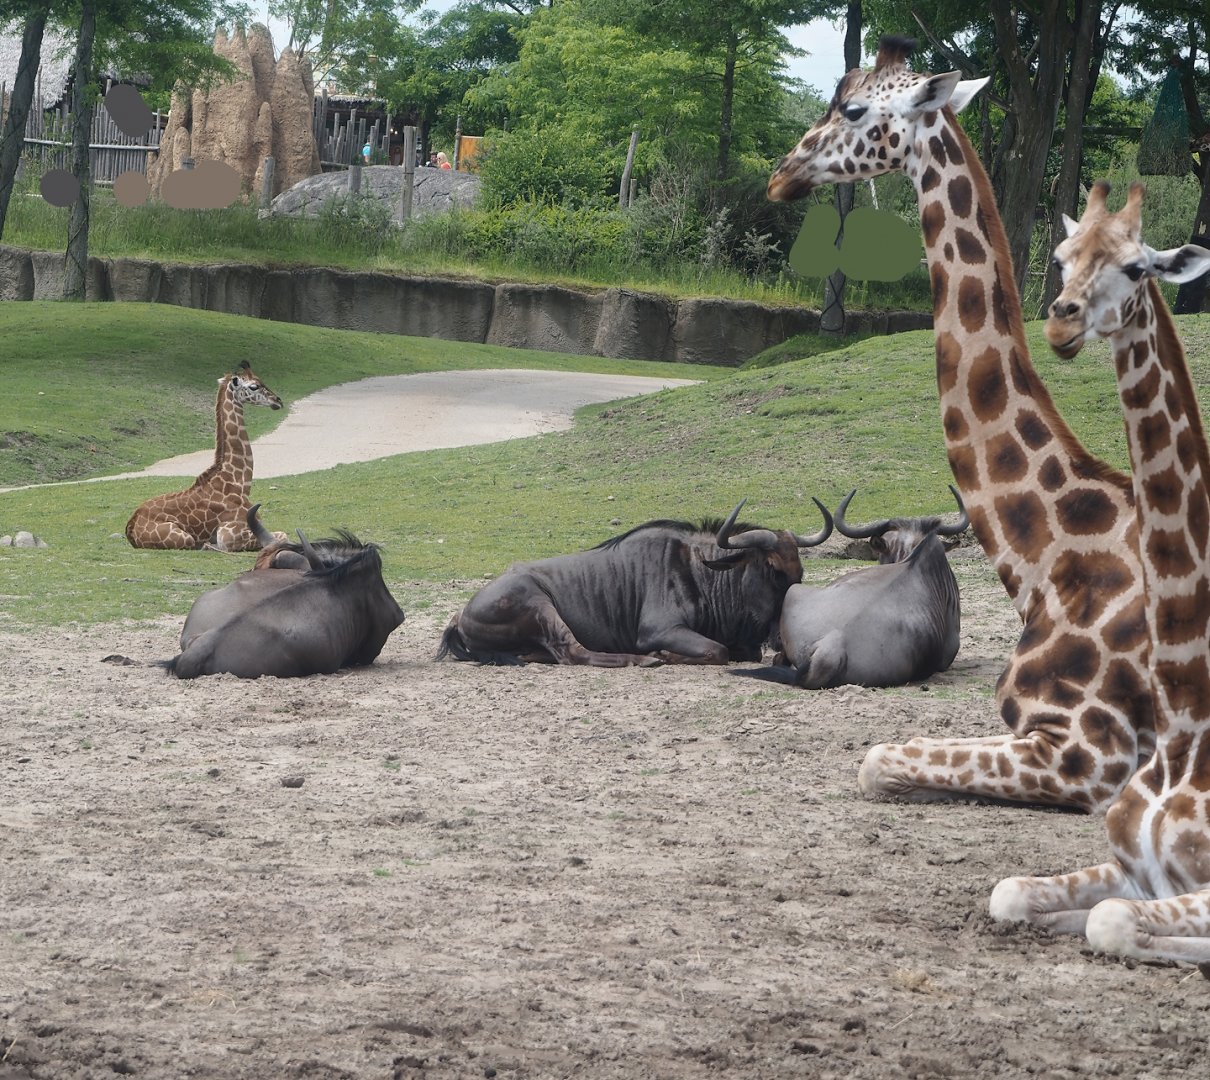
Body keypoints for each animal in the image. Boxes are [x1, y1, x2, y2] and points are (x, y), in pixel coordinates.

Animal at [125, 361, 285, 551]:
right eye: (254, 386)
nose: (278, 401)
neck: (240, 484)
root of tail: (130, 527)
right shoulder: (228, 532)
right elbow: (282, 535)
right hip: (183, 538)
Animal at [989, 181, 1210, 964]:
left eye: (1139, 267)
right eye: (1062, 256)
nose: (1062, 321)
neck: (1186, 731)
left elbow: (1110, 921)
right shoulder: (1128, 866)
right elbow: (1013, 893)